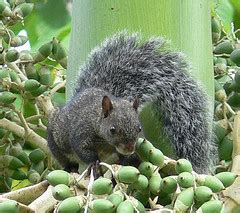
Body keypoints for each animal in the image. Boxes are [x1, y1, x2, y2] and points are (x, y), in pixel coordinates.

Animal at [47, 31, 217, 173]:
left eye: (139, 128)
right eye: (112, 130)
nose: (129, 148)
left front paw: (129, 160)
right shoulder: (82, 133)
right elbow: (83, 151)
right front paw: (94, 162)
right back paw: (70, 167)